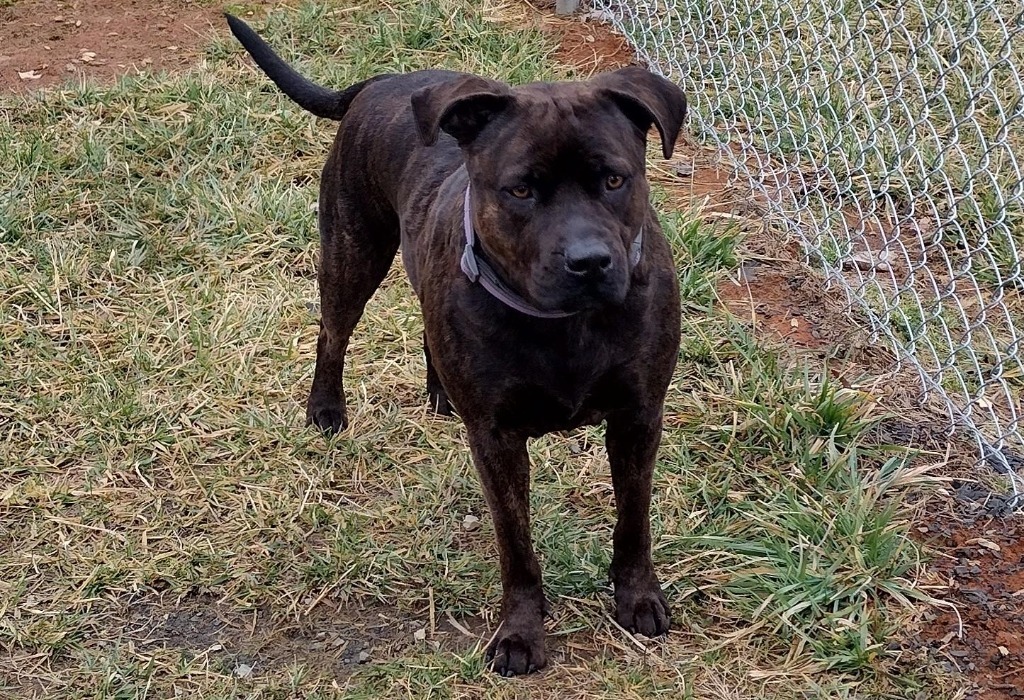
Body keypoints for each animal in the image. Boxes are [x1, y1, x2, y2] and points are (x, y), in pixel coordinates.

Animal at [228, 12, 684, 679]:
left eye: (613, 179)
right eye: (520, 191)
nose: (589, 261)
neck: (565, 324)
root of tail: (384, 81)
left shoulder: (638, 416)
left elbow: (634, 519)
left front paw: (638, 596)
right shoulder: (496, 439)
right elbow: (516, 545)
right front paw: (520, 632)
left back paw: (439, 392)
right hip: (351, 253)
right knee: (332, 333)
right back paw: (327, 409)